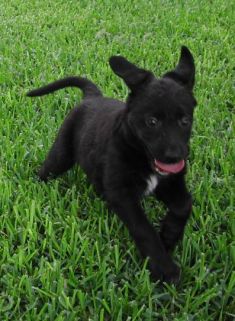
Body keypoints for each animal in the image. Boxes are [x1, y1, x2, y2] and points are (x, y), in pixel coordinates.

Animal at [27, 45, 196, 282]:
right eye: (152, 122)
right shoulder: (123, 194)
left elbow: (183, 204)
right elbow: (144, 229)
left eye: (185, 121)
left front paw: (168, 236)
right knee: (47, 170)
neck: (140, 155)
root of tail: (92, 97)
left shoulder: (170, 183)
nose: (175, 156)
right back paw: (37, 185)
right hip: (61, 154)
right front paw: (164, 268)